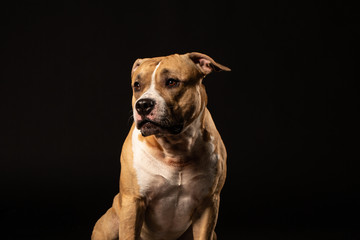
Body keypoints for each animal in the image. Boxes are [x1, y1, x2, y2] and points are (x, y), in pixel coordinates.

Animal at [91, 52, 229, 240]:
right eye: (137, 85)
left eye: (172, 82)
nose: (143, 105)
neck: (175, 149)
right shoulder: (133, 201)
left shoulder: (208, 205)